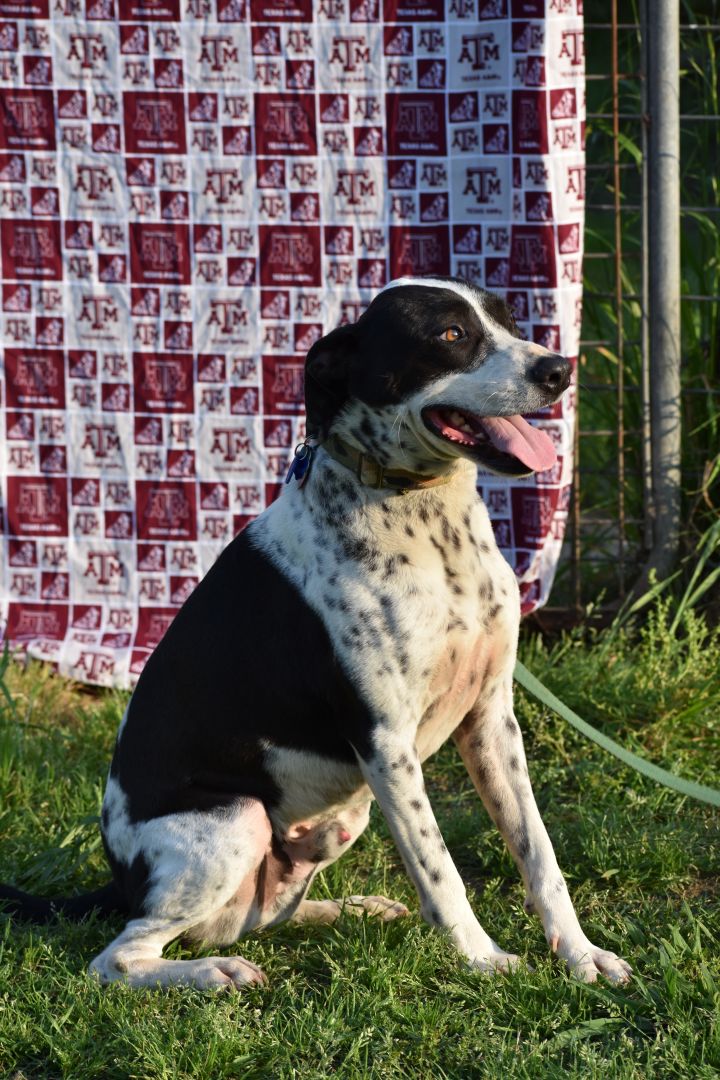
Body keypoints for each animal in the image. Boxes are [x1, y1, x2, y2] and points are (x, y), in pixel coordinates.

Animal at [0, 276, 630, 989]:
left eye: (510, 320)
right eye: (450, 335)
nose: (559, 369)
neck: (427, 519)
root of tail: (119, 880)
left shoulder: (491, 719)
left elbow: (540, 856)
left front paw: (579, 953)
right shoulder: (385, 743)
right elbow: (441, 871)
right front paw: (483, 962)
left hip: (341, 821)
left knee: (260, 913)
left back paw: (352, 908)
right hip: (236, 821)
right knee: (118, 957)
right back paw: (213, 972)